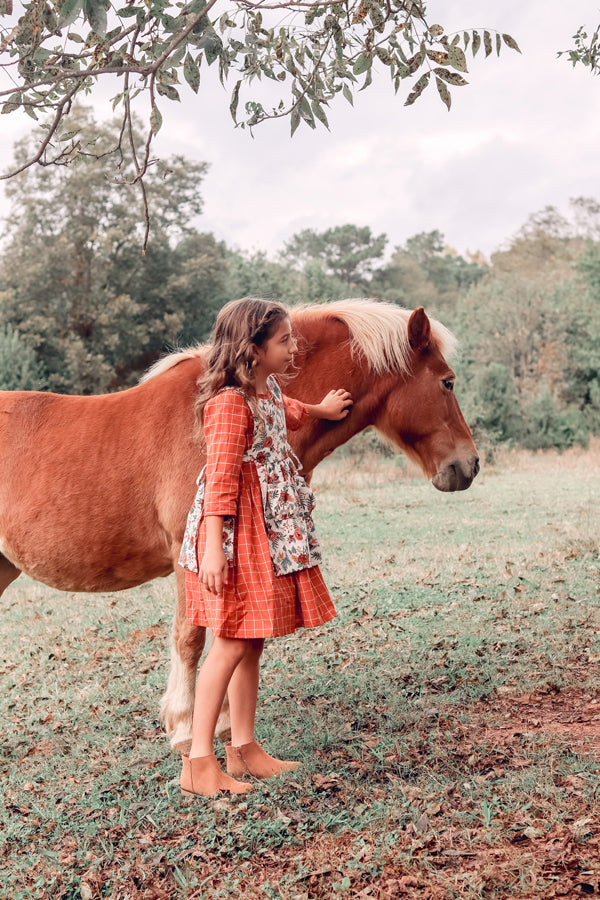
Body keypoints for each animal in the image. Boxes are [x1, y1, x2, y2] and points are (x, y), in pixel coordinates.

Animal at [0, 298, 478, 748]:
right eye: (448, 381)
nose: (469, 464)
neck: (209, 412)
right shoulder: (191, 556)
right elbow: (190, 638)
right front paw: (184, 726)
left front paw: (225, 720)